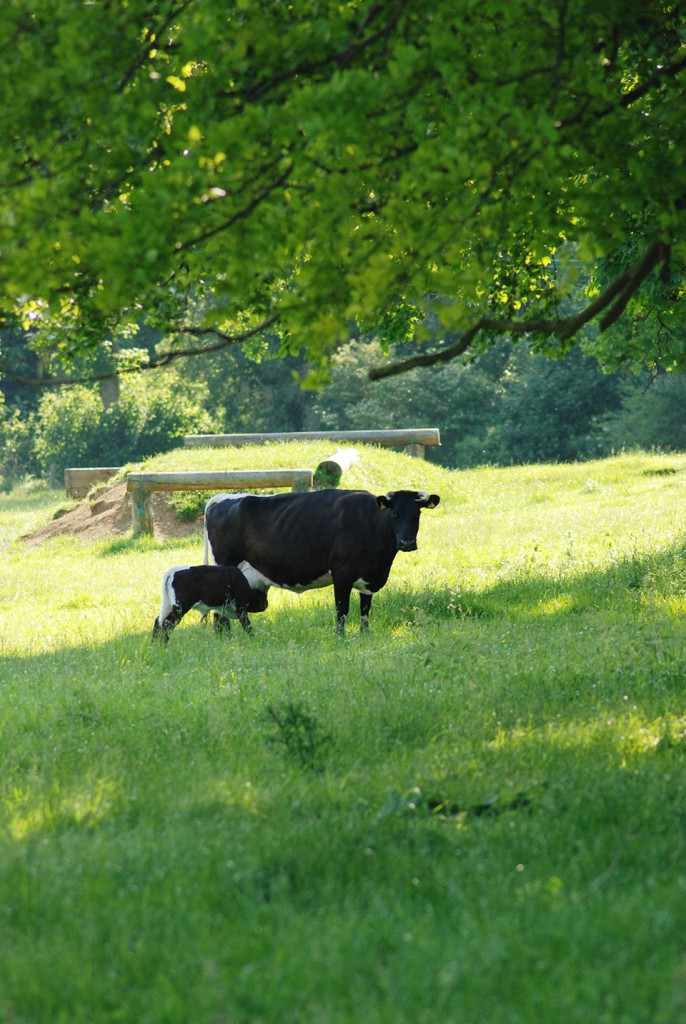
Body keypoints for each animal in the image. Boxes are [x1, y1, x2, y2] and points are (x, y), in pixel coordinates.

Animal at [204, 487, 440, 630]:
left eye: (417, 513)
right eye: (394, 514)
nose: (407, 543)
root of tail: (220, 498)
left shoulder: (369, 579)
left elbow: (365, 610)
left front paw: (365, 635)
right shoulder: (342, 574)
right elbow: (341, 610)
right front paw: (340, 638)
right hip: (225, 570)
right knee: (220, 612)